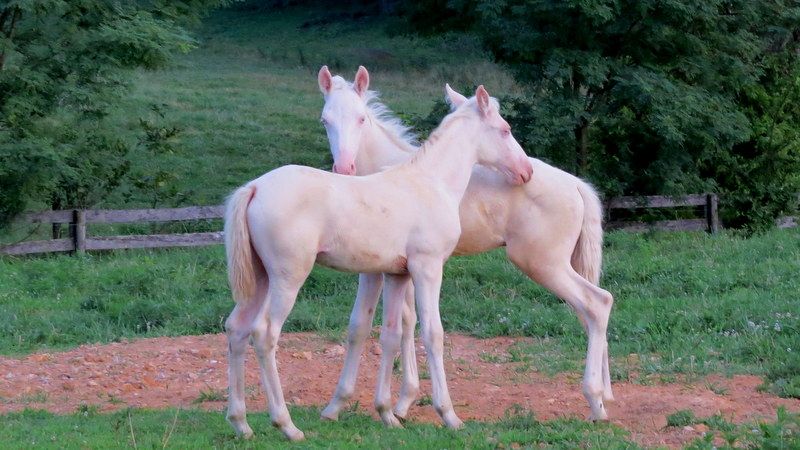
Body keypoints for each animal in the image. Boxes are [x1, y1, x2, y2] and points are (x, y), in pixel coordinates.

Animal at [223, 83, 533, 440]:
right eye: (505, 129)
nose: (526, 170)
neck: (430, 182)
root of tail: (255, 187)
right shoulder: (428, 269)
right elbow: (433, 333)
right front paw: (449, 415)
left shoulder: (396, 274)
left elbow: (391, 334)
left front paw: (387, 413)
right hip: (287, 277)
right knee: (264, 334)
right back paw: (287, 425)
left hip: (259, 278)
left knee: (236, 328)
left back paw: (241, 424)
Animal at [316, 66, 615, 425]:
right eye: (326, 120)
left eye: (361, 118)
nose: (343, 168)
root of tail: (575, 184)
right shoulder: (399, 266)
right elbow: (399, 323)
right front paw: (400, 402)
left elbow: (406, 324)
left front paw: (403, 403)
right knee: (591, 313)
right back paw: (605, 395)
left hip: (544, 264)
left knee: (597, 303)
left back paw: (596, 400)